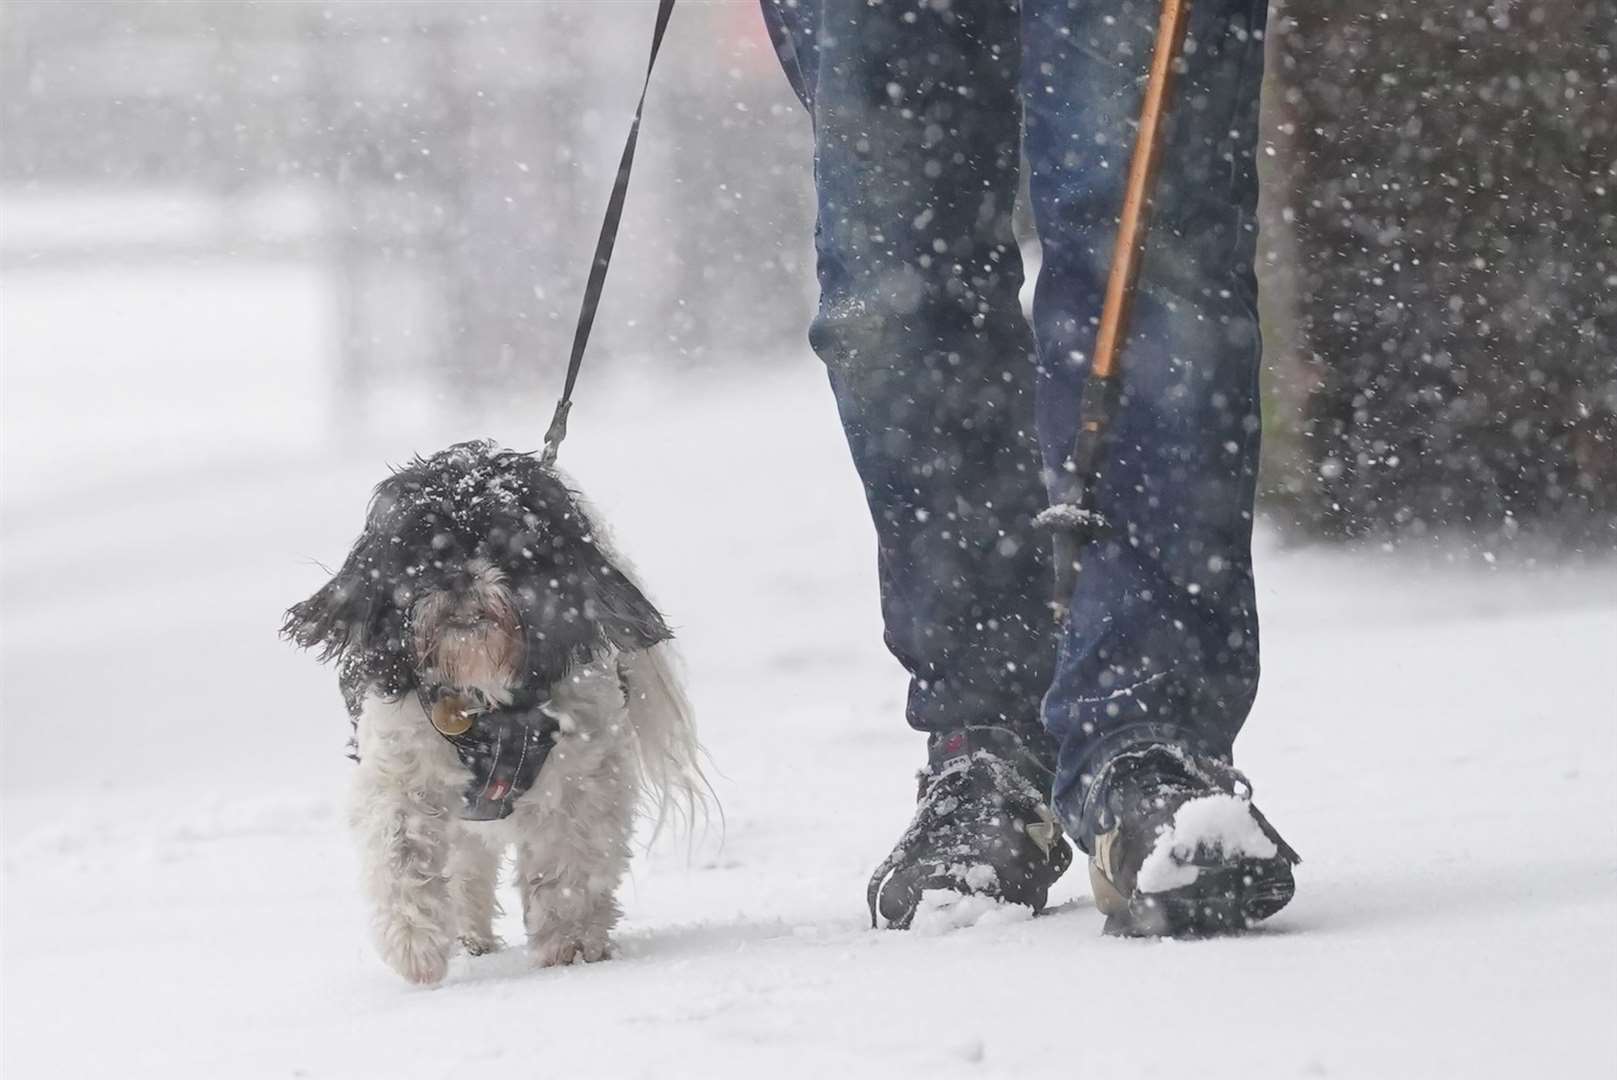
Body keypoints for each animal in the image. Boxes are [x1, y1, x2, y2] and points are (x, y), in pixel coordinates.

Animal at [284, 439, 701, 989]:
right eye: (423, 550)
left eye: (506, 544)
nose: (459, 575)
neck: (484, 698)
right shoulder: (401, 768)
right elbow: (401, 850)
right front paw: (415, 947)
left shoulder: (584, 776)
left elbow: (571, 859)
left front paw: (569, 942)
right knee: (466, 864)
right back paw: (469, 937)